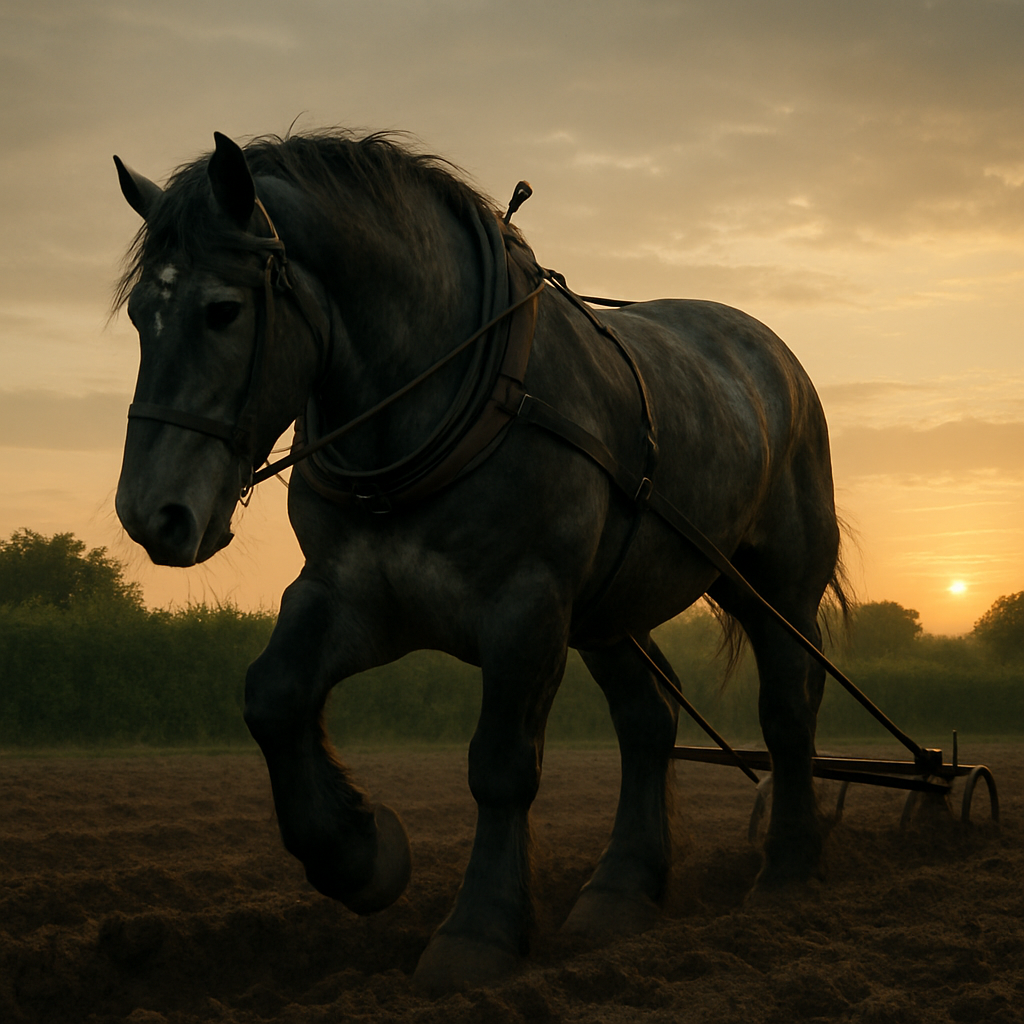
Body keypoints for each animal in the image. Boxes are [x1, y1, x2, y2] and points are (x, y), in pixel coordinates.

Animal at [112, 129, 847, 991]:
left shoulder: (525, 609)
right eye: (140, 315)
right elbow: (273, 697)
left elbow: (500, 766)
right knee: (649, 722)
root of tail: (768, 349)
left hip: (774, 587)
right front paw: (361, 856)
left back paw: (787, 872)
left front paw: (478, 934)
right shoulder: (352, 595)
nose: (151, 515)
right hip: (608, 612)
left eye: (222, 310)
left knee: (789, 711)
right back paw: (620, 893)